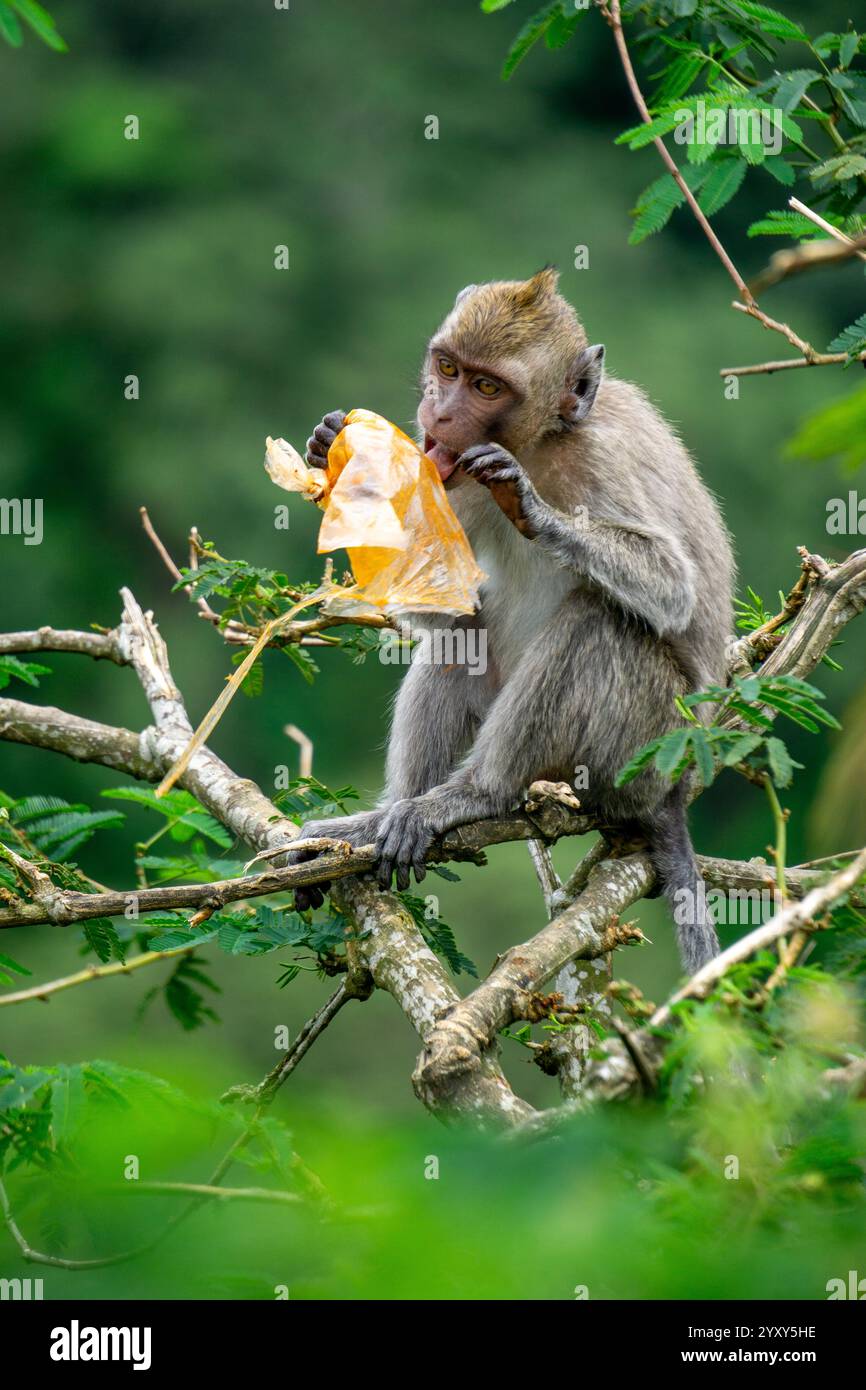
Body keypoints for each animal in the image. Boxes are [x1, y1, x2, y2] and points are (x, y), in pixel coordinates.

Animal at [297, 268, 734, 973]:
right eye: (447, 368)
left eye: (487, 387)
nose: (440, 414)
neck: (541, 441)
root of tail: (673, 787)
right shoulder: (451, 480)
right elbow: (443, 602)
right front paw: (332, 452)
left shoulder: (601, 462)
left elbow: (673, 589)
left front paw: (532, 505)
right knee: (466, 636)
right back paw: (389, 815)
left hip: (644, 743)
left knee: (600, 621)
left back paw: (477, 794)